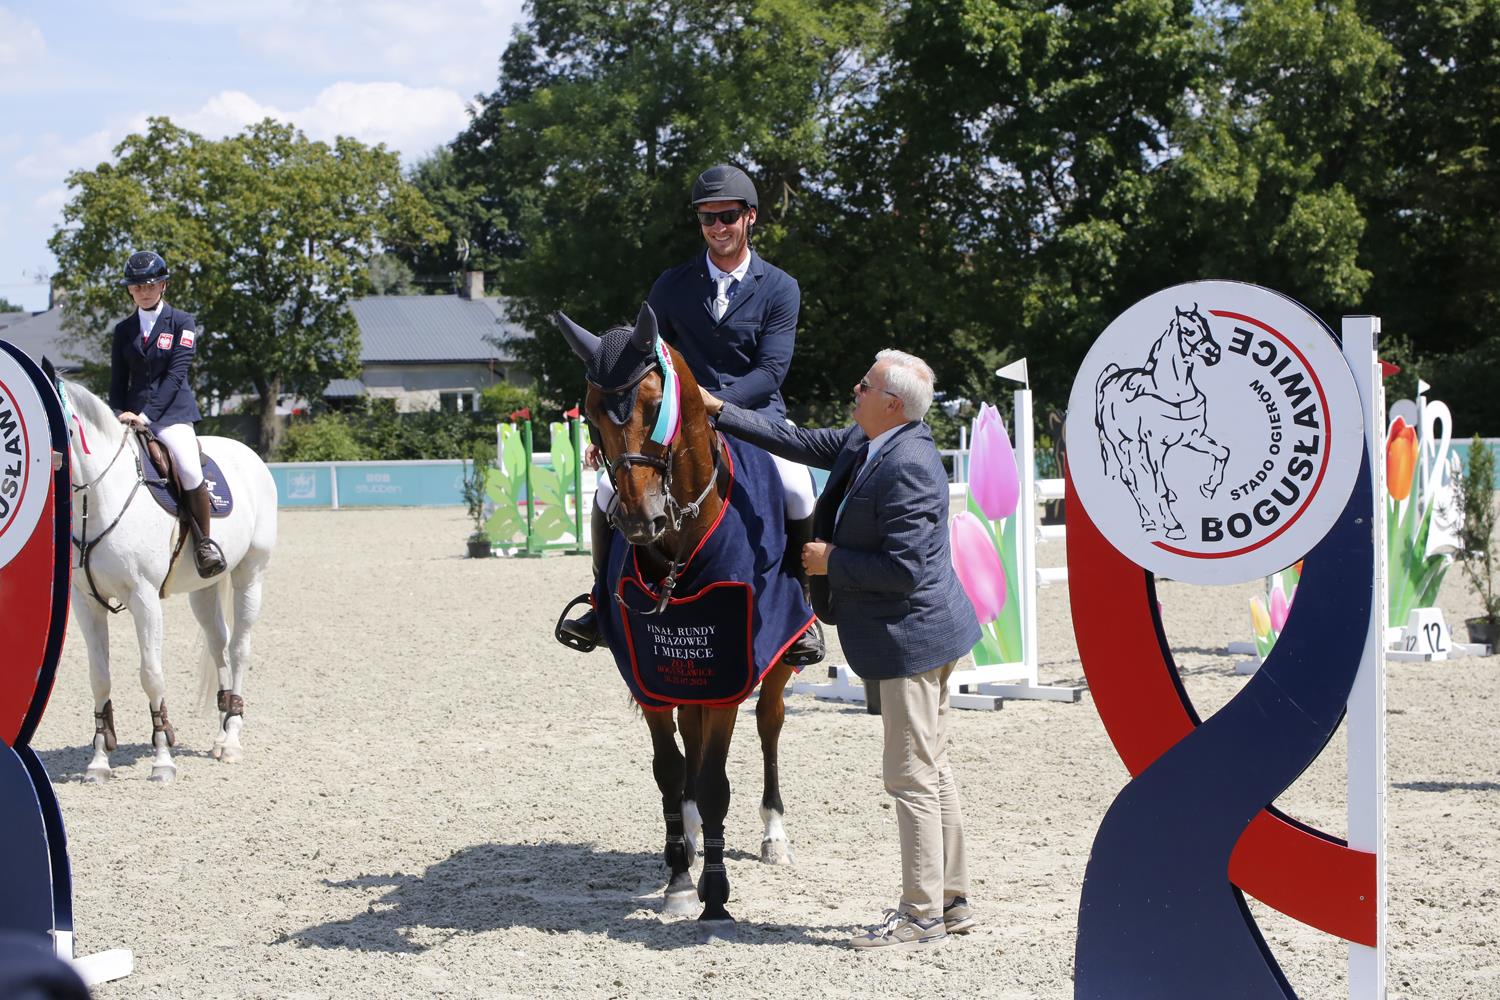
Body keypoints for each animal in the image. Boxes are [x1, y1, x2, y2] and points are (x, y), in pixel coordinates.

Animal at [45, 361, 278, 782]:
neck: (98, 497)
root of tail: (247, 453)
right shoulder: (86, 602)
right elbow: (99, 678)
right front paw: (98, 763)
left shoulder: (143, 597)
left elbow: (151, 674)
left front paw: (163, 759)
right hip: (204, 587)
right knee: (218, 644)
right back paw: (220, 736)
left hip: (251, 573)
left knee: (239, 649)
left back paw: (232, 741)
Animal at [555, 305, 808, 939]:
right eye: (590, 411)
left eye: (654, 405)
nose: (638, 519)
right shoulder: (649, 674)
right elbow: (670, 771)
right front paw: (678, 879)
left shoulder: (728, 676)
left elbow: (716, 781)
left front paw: (716, 897)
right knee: (690, 743)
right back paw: (691, 838)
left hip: (773, 665)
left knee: (769, 725)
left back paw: (773, 835)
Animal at [1093, 304, 1230, 540]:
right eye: (1188, 331)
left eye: (1205, 324)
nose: (1213, 352)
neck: (1173, 394)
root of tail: (1108, 379)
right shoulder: (1156, 444)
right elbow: (1159, 487)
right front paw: (1174, 526)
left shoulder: (1192, 438)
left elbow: (1222, 452)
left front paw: (1208, 488)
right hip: (1121, 443)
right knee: (1129, 476)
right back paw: (1148, 520)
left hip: (1137, 445)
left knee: (1141, 472)